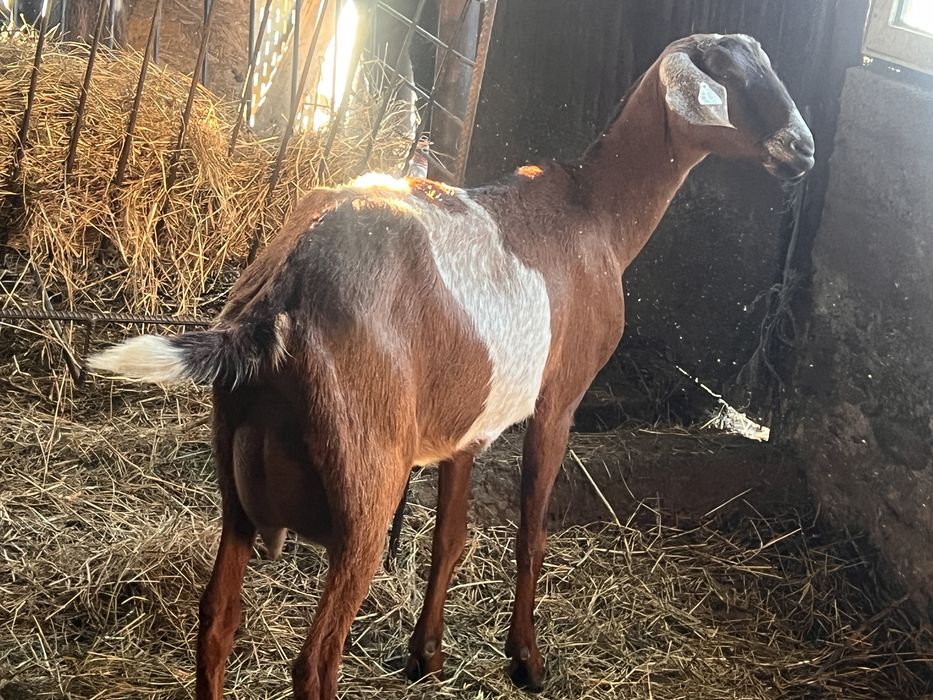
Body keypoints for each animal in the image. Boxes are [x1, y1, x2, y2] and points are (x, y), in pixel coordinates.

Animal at [89, 33, 815, 700]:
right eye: (730, 74)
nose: (803, 150)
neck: (594, 213)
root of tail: (282, 293)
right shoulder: (558, 401)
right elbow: (531, 534)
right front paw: (526, 660)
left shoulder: (468, 423)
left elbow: (450, 536)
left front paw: (428, 654)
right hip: (366, 488)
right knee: (313, 664)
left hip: (237, 481)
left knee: (217, 622)